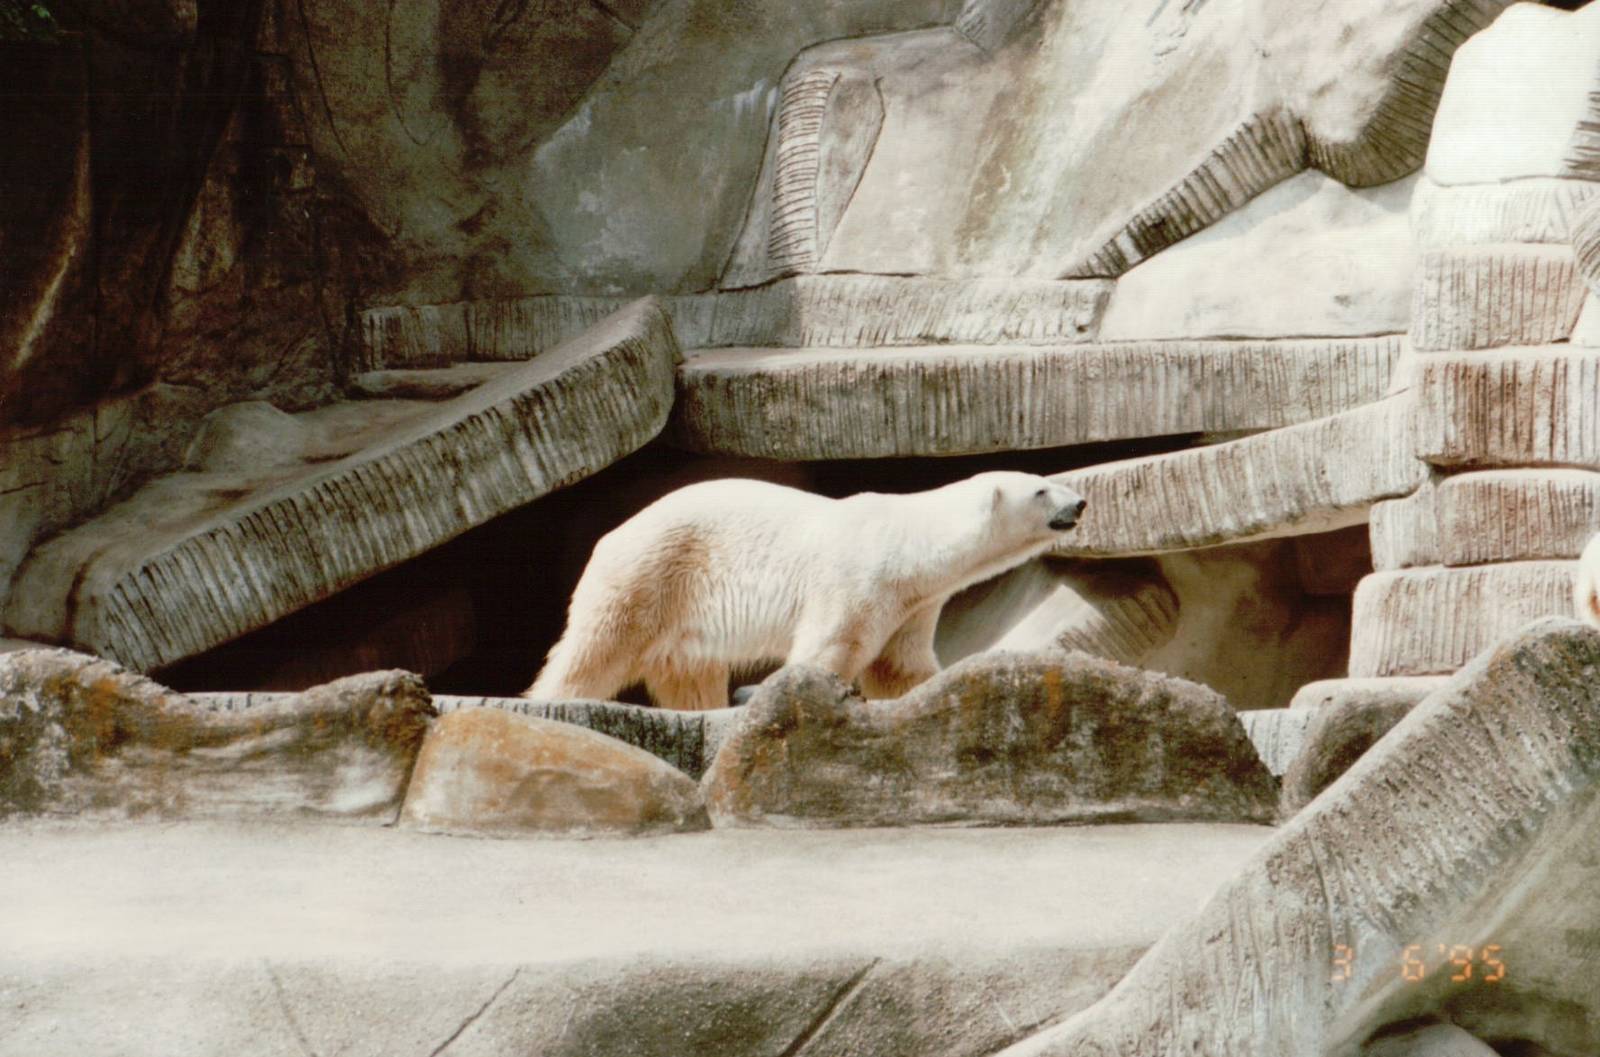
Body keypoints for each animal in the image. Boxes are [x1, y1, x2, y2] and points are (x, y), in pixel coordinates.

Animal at [524, 471, 1088, 711]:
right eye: (1041, 489)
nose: (1080, 502)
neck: (910, 543)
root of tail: (609, 537)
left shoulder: (914, 604)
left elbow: (901, 666)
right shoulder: (859, 578)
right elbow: (831, 645)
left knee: (688, 670)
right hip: (652, 573)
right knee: (597, 648)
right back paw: (553, 701)